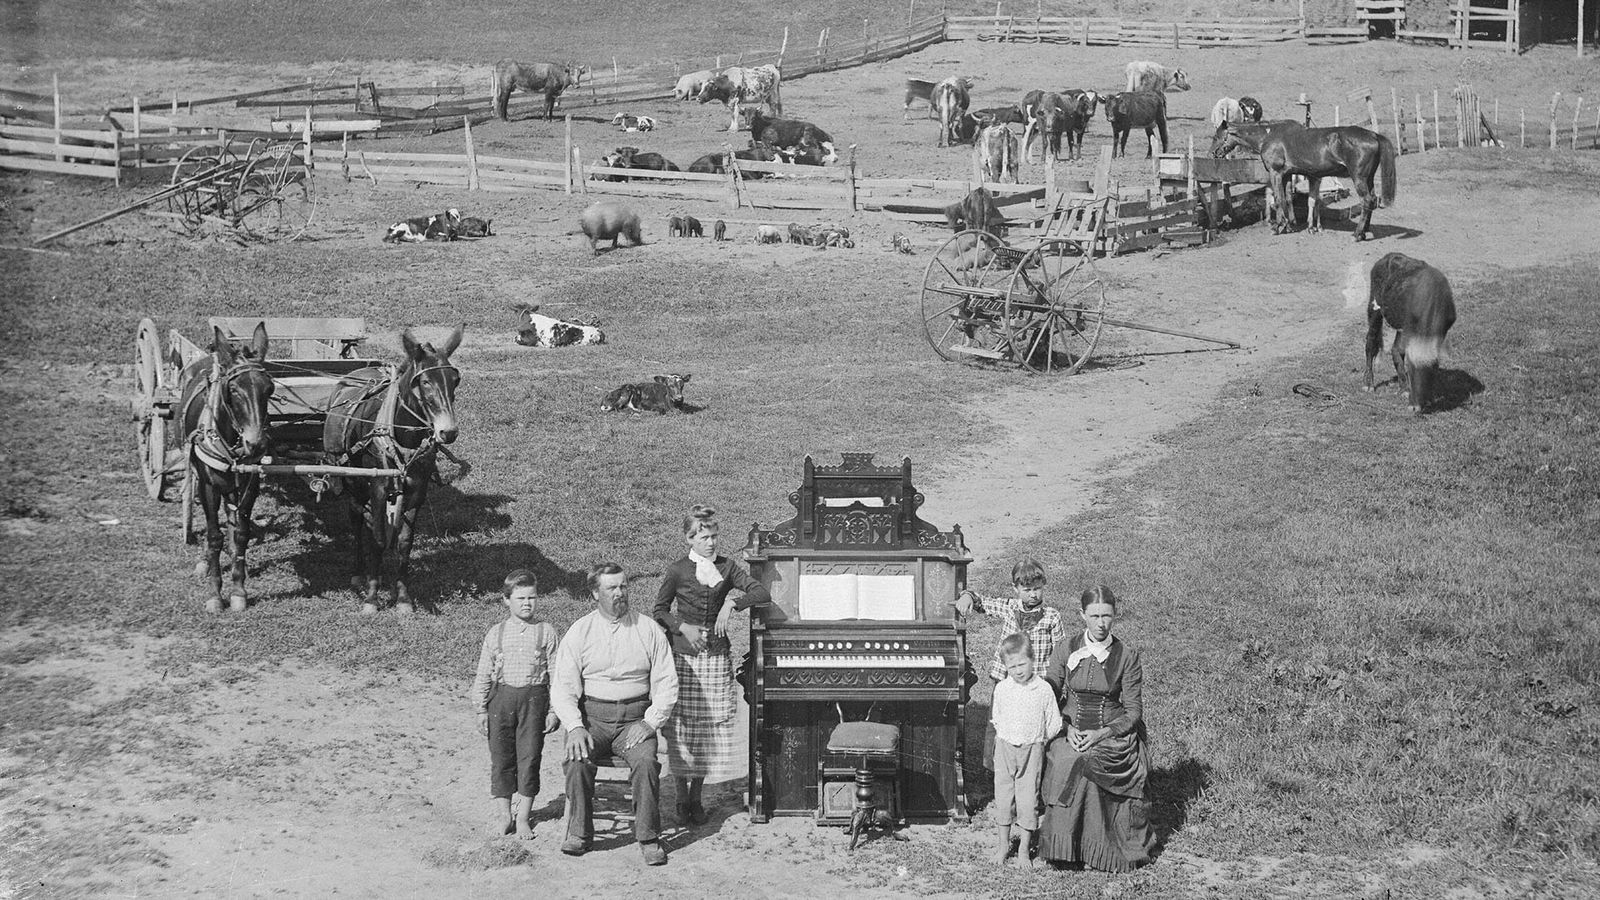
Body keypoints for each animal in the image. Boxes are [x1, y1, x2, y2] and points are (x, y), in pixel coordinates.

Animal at [175, 322, 274, 613]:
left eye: (270, 389)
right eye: (234, 390)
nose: (256, 443)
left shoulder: (251, 484)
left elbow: (241, 532)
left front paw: (239, 589)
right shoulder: (209, 486)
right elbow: (213, 536)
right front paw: (216, 594)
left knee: (232, 516)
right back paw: (206, 562)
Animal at [323, 326, 464, 614]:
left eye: (455, 380)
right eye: (425, 382)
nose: (448, 431)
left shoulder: (417, 491)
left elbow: (404, 542)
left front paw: (403, 598)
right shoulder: (377, 487)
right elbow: (377, 539)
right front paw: (371, 598)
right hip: (354, 483)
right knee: (358, 521)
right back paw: (359, 573)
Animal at [1257, 126, 1397, 241]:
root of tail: (1373, 135)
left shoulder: (1275, 172)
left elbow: (1278, 199)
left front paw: (1277, 227)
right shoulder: (1286, 174)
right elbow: (1286, 199)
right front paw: (1289, 226)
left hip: (1359, 178)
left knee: (1366, 200)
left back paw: (1357, 234)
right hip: (1369, 178)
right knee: (1372, 199)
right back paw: (1363, 232)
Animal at [1364, 253, 1456, 414]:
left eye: (1428, 373)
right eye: (1411, 371)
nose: (1415, 407)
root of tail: (1387, 256)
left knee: (1395, 349)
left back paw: (1403, 388)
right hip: (1374, 307)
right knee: (1371, 341)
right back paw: (1369, 384)